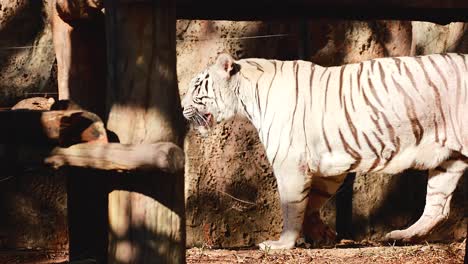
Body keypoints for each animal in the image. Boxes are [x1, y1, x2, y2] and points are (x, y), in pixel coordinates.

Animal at [180, 52, 468, 250]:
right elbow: (312, 202)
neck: (246, 97)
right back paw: (399, 236)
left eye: (196, 87)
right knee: (437, 208)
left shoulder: (289, 163)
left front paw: (281, 244)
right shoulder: (330, 166)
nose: (181, 107)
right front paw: (323, 235)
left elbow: (291, 206)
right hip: (449, 161)